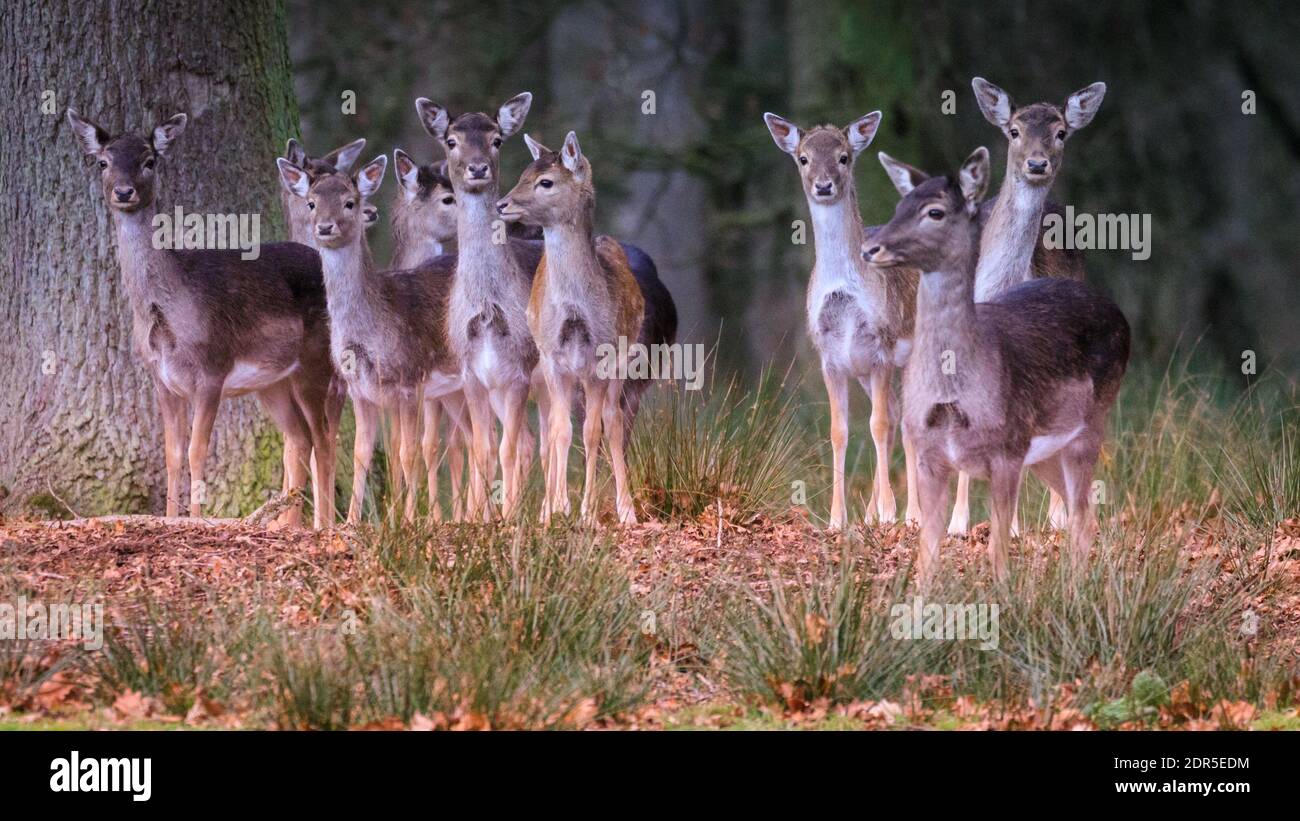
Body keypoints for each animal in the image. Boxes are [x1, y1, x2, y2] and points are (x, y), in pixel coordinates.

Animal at [68, 109, 338, 530]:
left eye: (150, 160)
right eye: (103, 162)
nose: (124, 192)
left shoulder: (212, 369)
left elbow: (197, 450)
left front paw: (195, 520)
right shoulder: (161, 379)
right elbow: (172, 454)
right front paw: (169, 519)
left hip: (315, 359)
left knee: (323, 438)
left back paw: (323, 526)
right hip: (272, 381)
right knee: (300, 437)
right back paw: (286, 524)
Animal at [493, 131, 642, 522]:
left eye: (546, 181)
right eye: (523, 172)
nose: (501, 204)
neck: (576, 310)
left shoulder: (600, 359)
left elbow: (592, 431)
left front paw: (587, 511)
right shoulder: (552, 359)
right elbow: (561, 432)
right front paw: (556, 508)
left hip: (623, 360)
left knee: (614, 422)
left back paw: (626, 509)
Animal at [759, 112, 925, 530]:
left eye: (844, 156)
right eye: (803, 158)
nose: (823, 184)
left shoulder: (882, 345)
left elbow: (878, 425)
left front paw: (889, 512)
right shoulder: (830, 356)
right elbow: (839, 431)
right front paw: (838, 520)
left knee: (909, 422)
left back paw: (912, 515)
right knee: (898, 416)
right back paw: (873, 515)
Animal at [863, 146, 1128, 584]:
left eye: (935, 211)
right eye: (901, 205)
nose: (871, 249)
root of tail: (1121, 316)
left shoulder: (1007, 451)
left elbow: (998, 552)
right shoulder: (929, 455)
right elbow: (927, 556)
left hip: (1089, 426)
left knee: (1083, 517)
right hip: (1046, 452)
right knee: (1083, 514)